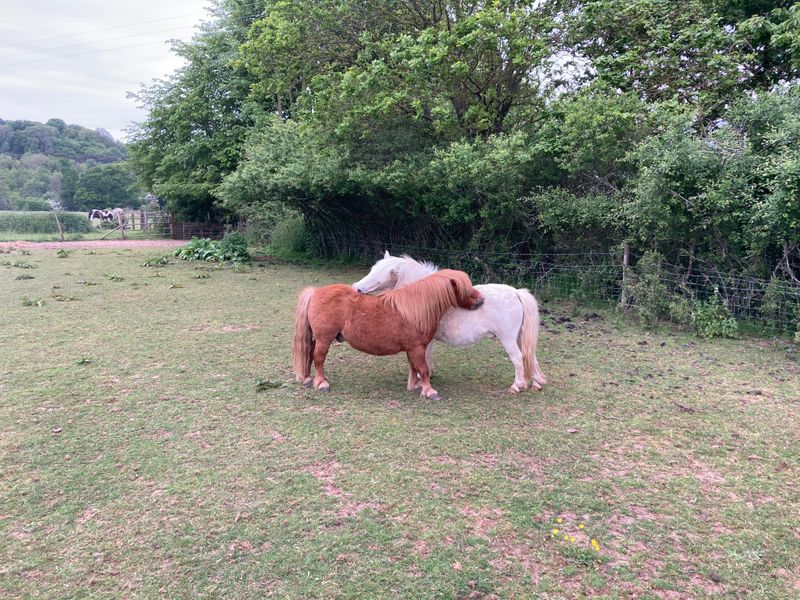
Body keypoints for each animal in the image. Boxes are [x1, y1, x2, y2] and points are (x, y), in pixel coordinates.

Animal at [293, 269, 485, 400]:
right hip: (325, 339)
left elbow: (414, 368)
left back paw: (308, 378)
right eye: (464, 288)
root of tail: (315, 292)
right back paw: (322, 383)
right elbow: (423, 369)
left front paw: (415, 386)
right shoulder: (417, 348)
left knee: (310, 353)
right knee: (318, 358)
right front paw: (429, 391)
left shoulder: (412, 349)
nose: (481, 300)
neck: (416, 310)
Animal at [353, 252, 547, 393]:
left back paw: (517, 386)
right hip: (520, 338)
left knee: (518, 358)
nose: (357, 288)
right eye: (372, 269)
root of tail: (516, 292)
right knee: (531, 357)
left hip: (508, 339)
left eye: (379, 275)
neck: (422, 297)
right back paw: (536, 383)